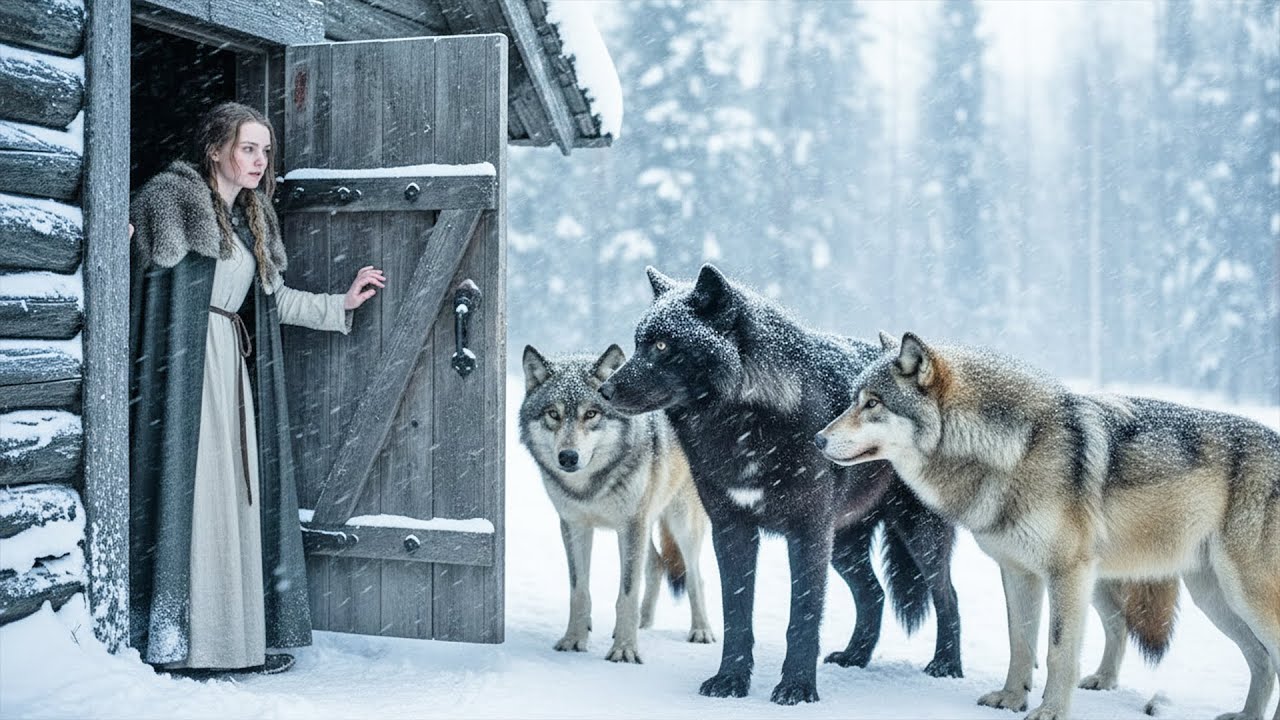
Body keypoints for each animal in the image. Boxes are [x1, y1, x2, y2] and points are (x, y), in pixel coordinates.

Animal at [520, 344, 716, 664]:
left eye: (591, 414)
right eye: (553, 414)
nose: (568, 457)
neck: (589, 488)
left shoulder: (631, 526)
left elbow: (627, 593)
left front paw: (625, 650)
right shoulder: (574, 526)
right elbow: (579, 590)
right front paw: (574, 640)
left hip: (681, 524)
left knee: (695, 578)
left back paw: (701, 631)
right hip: (647, 527)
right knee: (657, 565)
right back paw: (643, 624)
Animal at [598, 265, 964, 705]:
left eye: (663, 344)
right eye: (638, 343)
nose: (603, 390)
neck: (743, 423)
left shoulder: (807, 533)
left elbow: (802, 617)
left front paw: (797, 688)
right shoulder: (732, 530)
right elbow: (737, 615)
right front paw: (730, 681)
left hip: (916, 537)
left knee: (947, 596)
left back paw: (946, 666)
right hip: (843, 545)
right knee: (873, 594)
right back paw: (855, 657)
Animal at [816, 332, 1280, 720]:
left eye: (873, 403)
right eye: (854, 399)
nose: (818, 439)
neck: (1015, 450)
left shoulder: (1067, 573)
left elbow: (1057, 651)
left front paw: (1050, 711)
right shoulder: (1018, 572)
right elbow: (1020, 643)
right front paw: (1011, 699)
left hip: (1245, 595)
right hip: (1214, 598)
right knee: (1262, 660)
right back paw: (1246, 716)